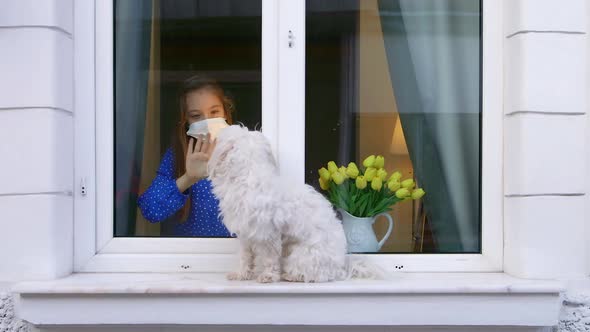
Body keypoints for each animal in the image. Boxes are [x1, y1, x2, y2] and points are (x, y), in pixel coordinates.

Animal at [208, 124, 374, 282]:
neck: (249, 175)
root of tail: (340, 268)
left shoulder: (268, 234)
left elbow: (269, 258)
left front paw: (268, 276)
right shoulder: (245, 233)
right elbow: (245, 257)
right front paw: (241, 274)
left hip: (300, 256)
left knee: (314, 275)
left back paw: (292, 276)